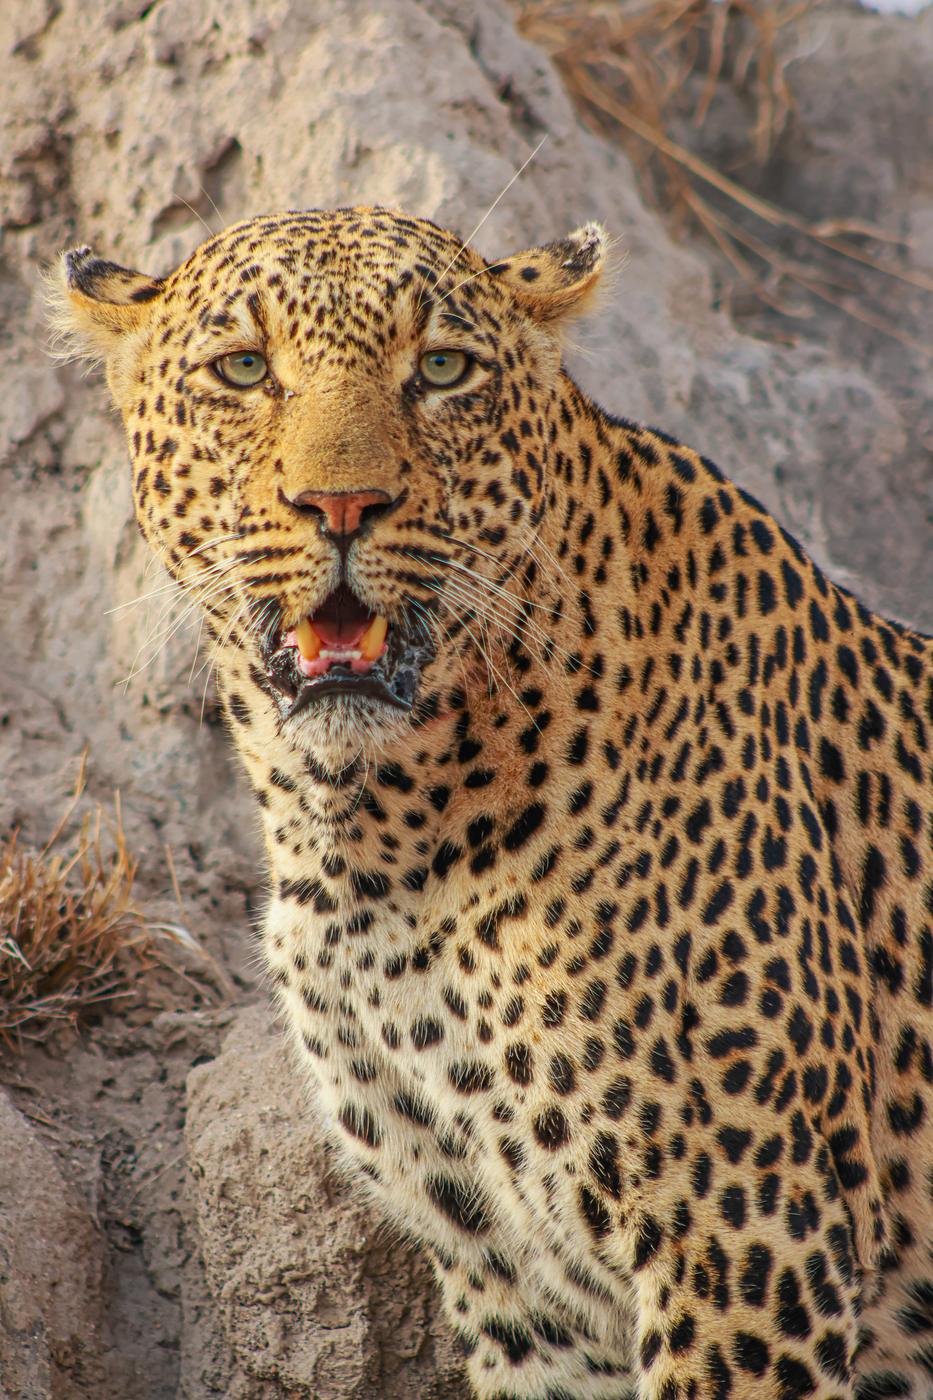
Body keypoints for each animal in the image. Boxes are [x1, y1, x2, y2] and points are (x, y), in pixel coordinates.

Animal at [51, 206, 933, 1400]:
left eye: (440, 370)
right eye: (243, 368)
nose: (341, 505)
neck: (378, 839)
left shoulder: (745, 1235)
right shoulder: (515, 1285)